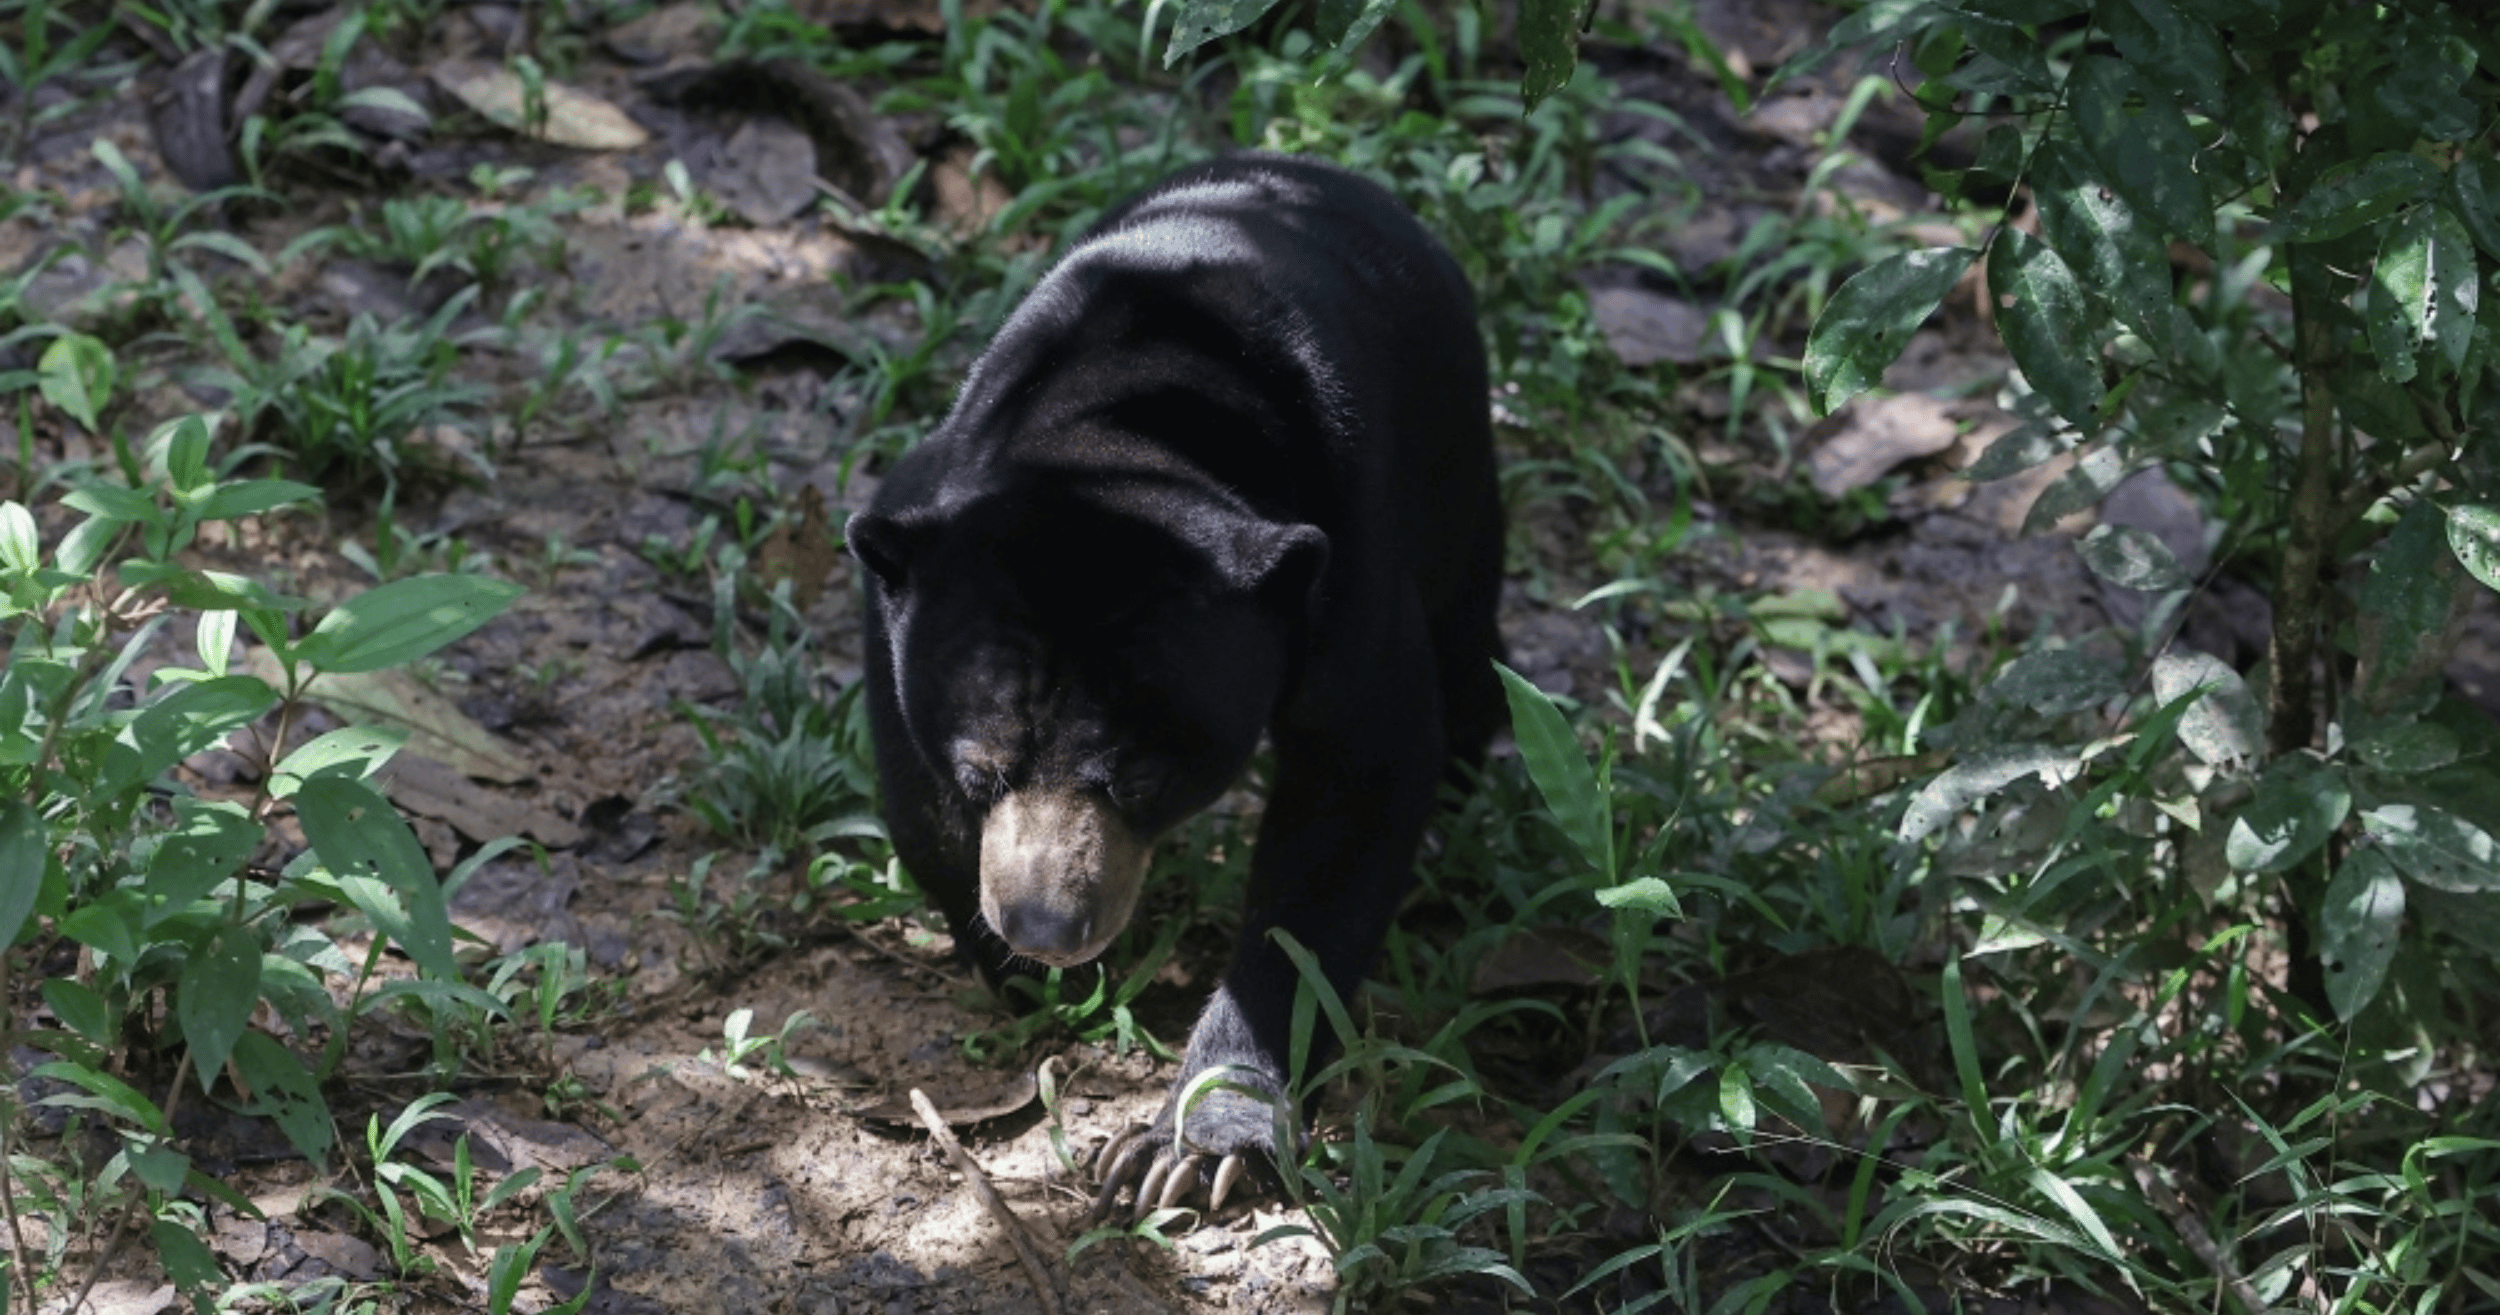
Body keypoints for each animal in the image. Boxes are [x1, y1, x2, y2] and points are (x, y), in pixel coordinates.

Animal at [845, 153, 1502, 1217]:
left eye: (1143, 779)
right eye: (983, 772)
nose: (1048, 927)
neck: (1125, 436)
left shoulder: (1347, 562)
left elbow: (1357, 784)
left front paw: (1198, 1145)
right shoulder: (918, 536)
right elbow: (911, 774)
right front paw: (1008, 966)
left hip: (1457, 456)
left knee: (1470, 640)